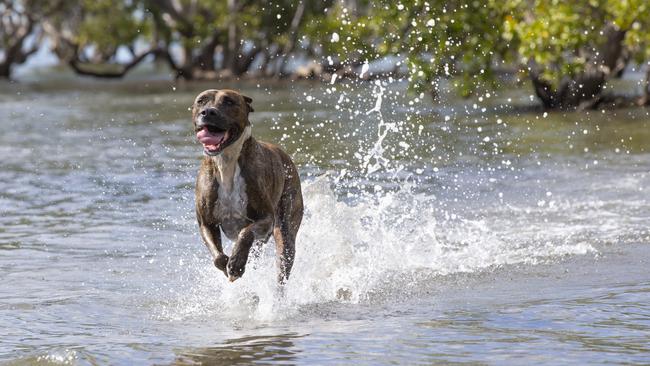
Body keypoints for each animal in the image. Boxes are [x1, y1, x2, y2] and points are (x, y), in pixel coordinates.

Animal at [191, 88, 302, 284]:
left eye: (229, 101)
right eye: (201, 101)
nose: (208, 112)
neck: (226, 162)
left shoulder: (266, 219)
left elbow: (246, 233)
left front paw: (236, 264)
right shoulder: (206, 223)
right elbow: (218, 257)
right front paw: (228, 264)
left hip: (286, 228)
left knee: (283, 264)